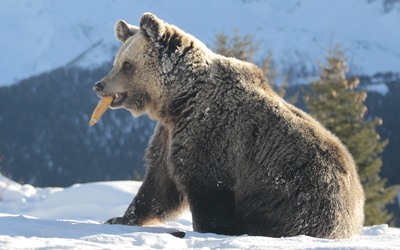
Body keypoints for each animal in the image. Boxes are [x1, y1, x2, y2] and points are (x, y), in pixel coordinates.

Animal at [94, 13, 366, 238]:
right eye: (117, 60)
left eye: (127, 65)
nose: (99, 85)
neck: (179, 100)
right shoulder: (169, 134)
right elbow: (158, 183)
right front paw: (120, 218)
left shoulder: (213, 136)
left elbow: (207, 190)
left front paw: (208, 229)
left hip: (295, 198)